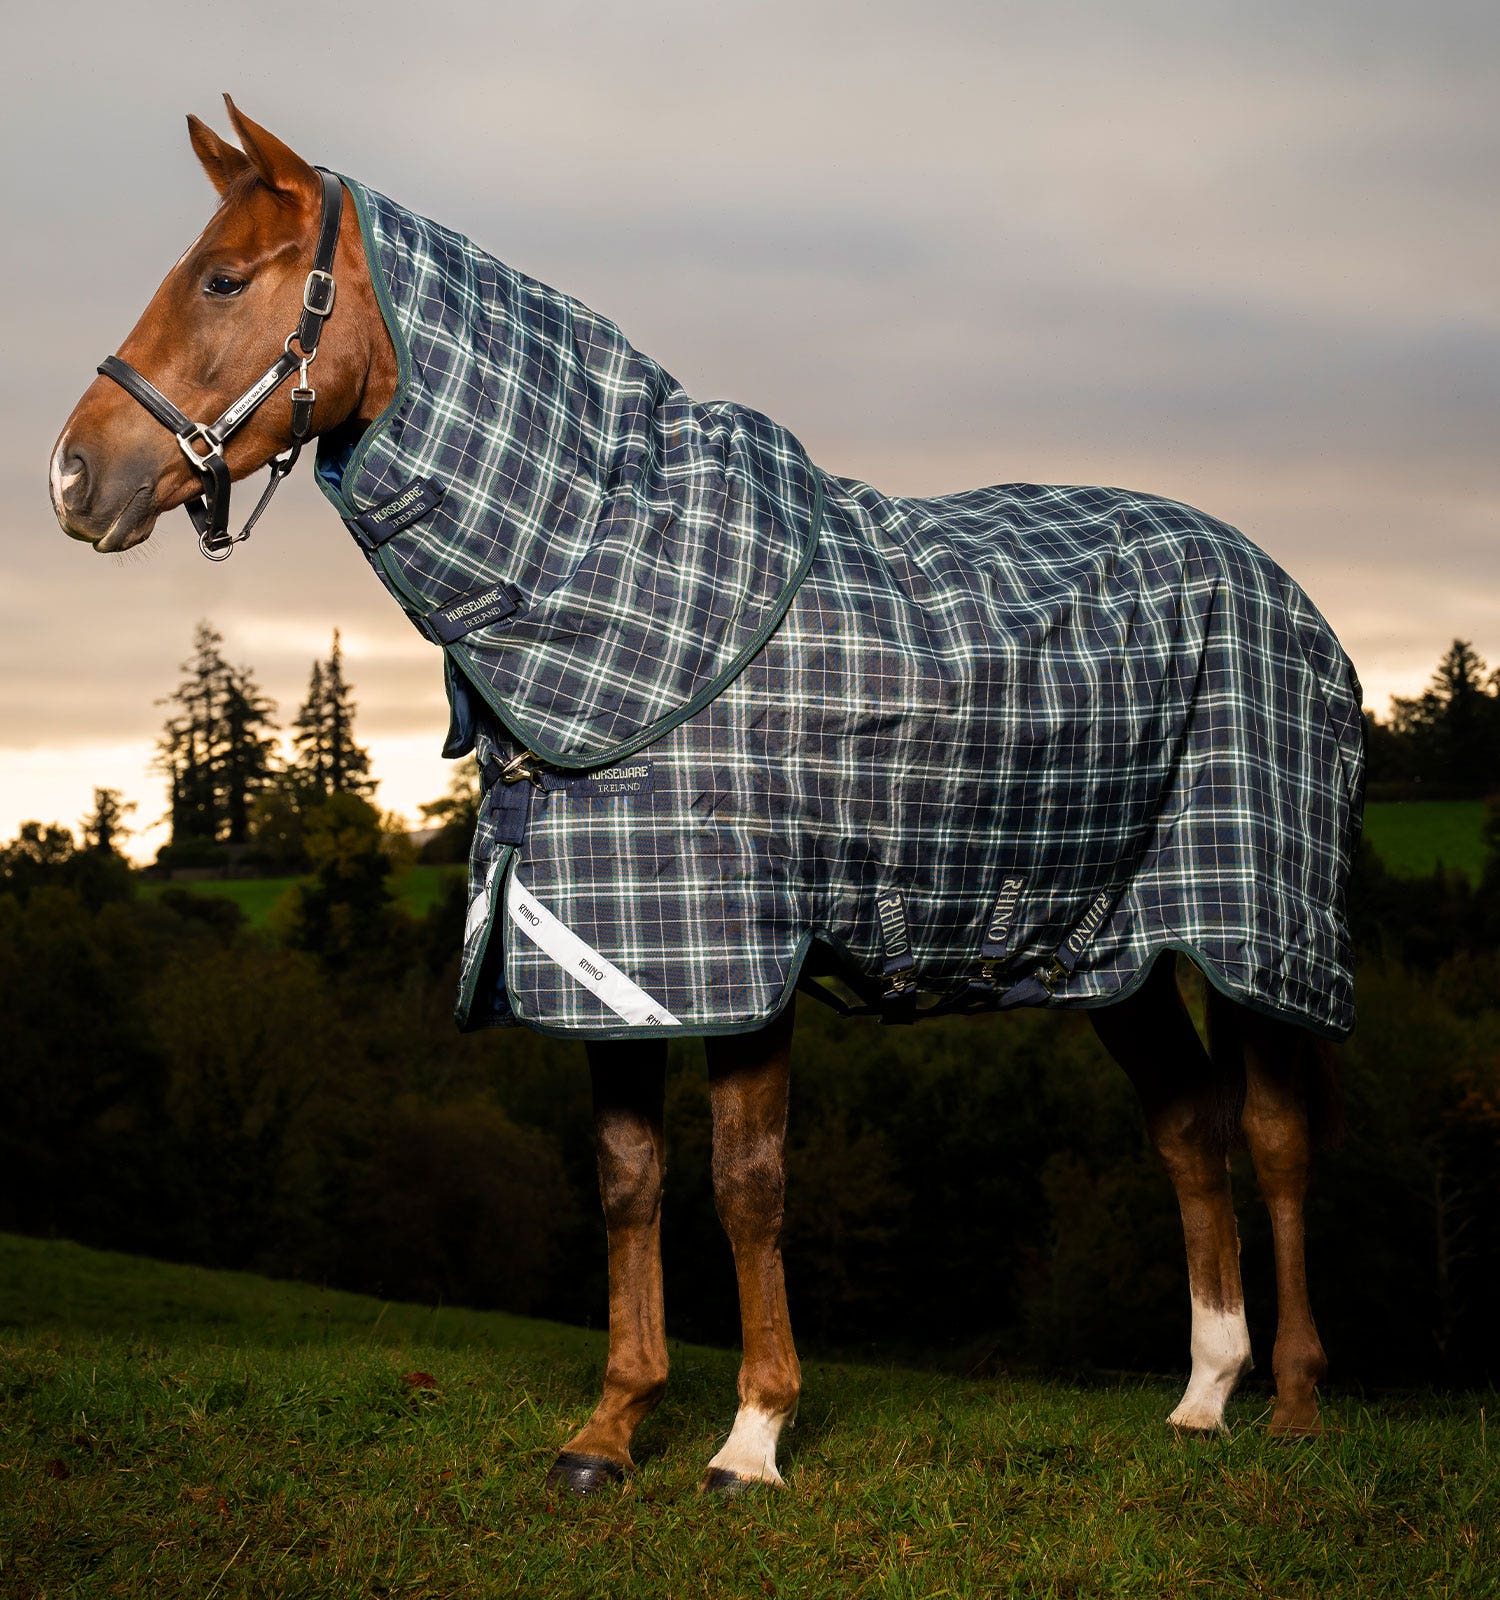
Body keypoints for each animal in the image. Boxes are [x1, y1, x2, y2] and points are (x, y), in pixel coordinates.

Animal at [50, 99, 1359, 1495]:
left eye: (222, 280)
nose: (72, 477)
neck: (616, 585)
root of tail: (1280, 585)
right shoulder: (601, 955)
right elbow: (628, 1180)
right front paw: (612, 1426)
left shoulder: (742, 955)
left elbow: (745, 1182)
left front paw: (753, 1434)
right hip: (1106, 946)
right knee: (1188, 1128)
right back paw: (1202, 1397)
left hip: (1259, 927)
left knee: (1277, 1137)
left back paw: (1291, 1403)